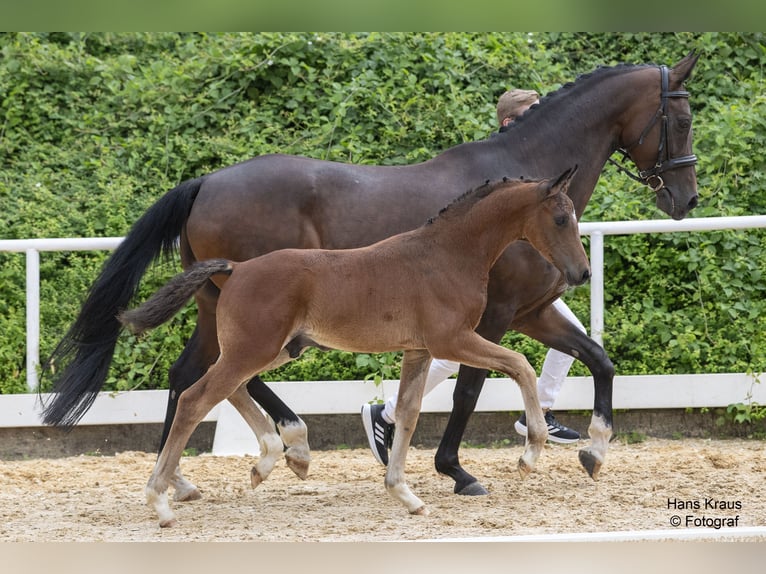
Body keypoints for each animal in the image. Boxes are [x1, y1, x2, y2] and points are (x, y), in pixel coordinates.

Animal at [120, 170, 592, 528]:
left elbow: (408, 414)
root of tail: (237, 269)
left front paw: (405, 494)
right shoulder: (453, 339)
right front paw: (530, 453)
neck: (447, 255)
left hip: (272, 349)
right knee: (196, 398)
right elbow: (520, 365)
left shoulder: (419, 350)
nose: (582, 273)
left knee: (226, 388)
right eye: (560, 219)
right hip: (255, 349)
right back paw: (161, 501)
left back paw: (269, 460)